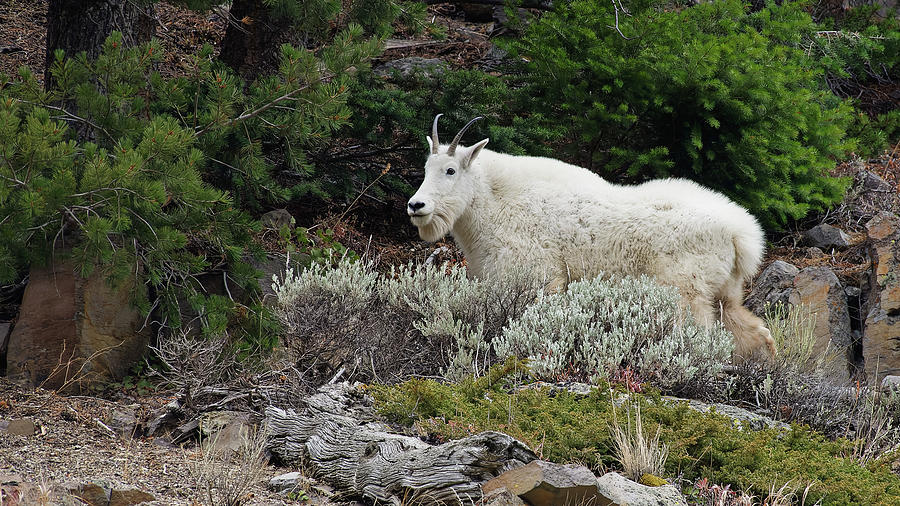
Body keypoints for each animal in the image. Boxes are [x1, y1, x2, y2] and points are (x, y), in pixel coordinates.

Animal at [412, 115, 776, 360]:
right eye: (426, 168)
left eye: (450, 170)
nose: (416, 205)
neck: (493, 200)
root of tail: (742, 235)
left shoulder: (541, 278)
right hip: (725, 294)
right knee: (757, 334)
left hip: (686, 293)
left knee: (700, 337)